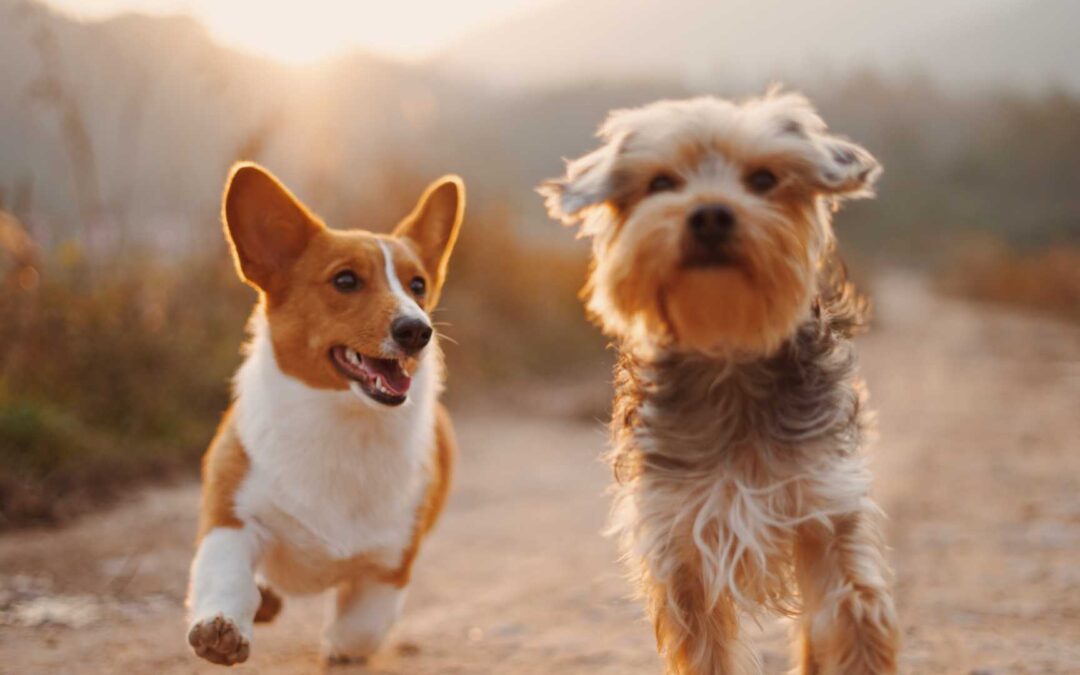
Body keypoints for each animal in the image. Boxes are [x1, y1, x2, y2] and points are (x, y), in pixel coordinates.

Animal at [544, 90, 898, 673]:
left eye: (764, 179)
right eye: (661, 183)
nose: (710, 214)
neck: (728, 353)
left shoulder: (824, 509)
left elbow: (853, 617)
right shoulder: (681, 540)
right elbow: (706, 649)